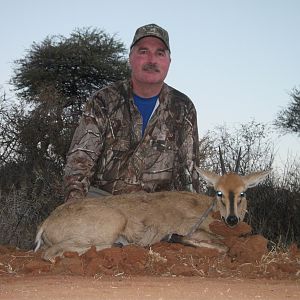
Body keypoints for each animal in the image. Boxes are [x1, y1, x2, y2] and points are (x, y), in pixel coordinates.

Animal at [34, 150, 270, 262]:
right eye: (219, 192)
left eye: (242, 193)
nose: (232, 219)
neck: (208, 210)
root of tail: (46, 223)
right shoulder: (195, 230)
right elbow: (224, 246)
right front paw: (173, 238)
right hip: (111, 225)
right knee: (51, 254)